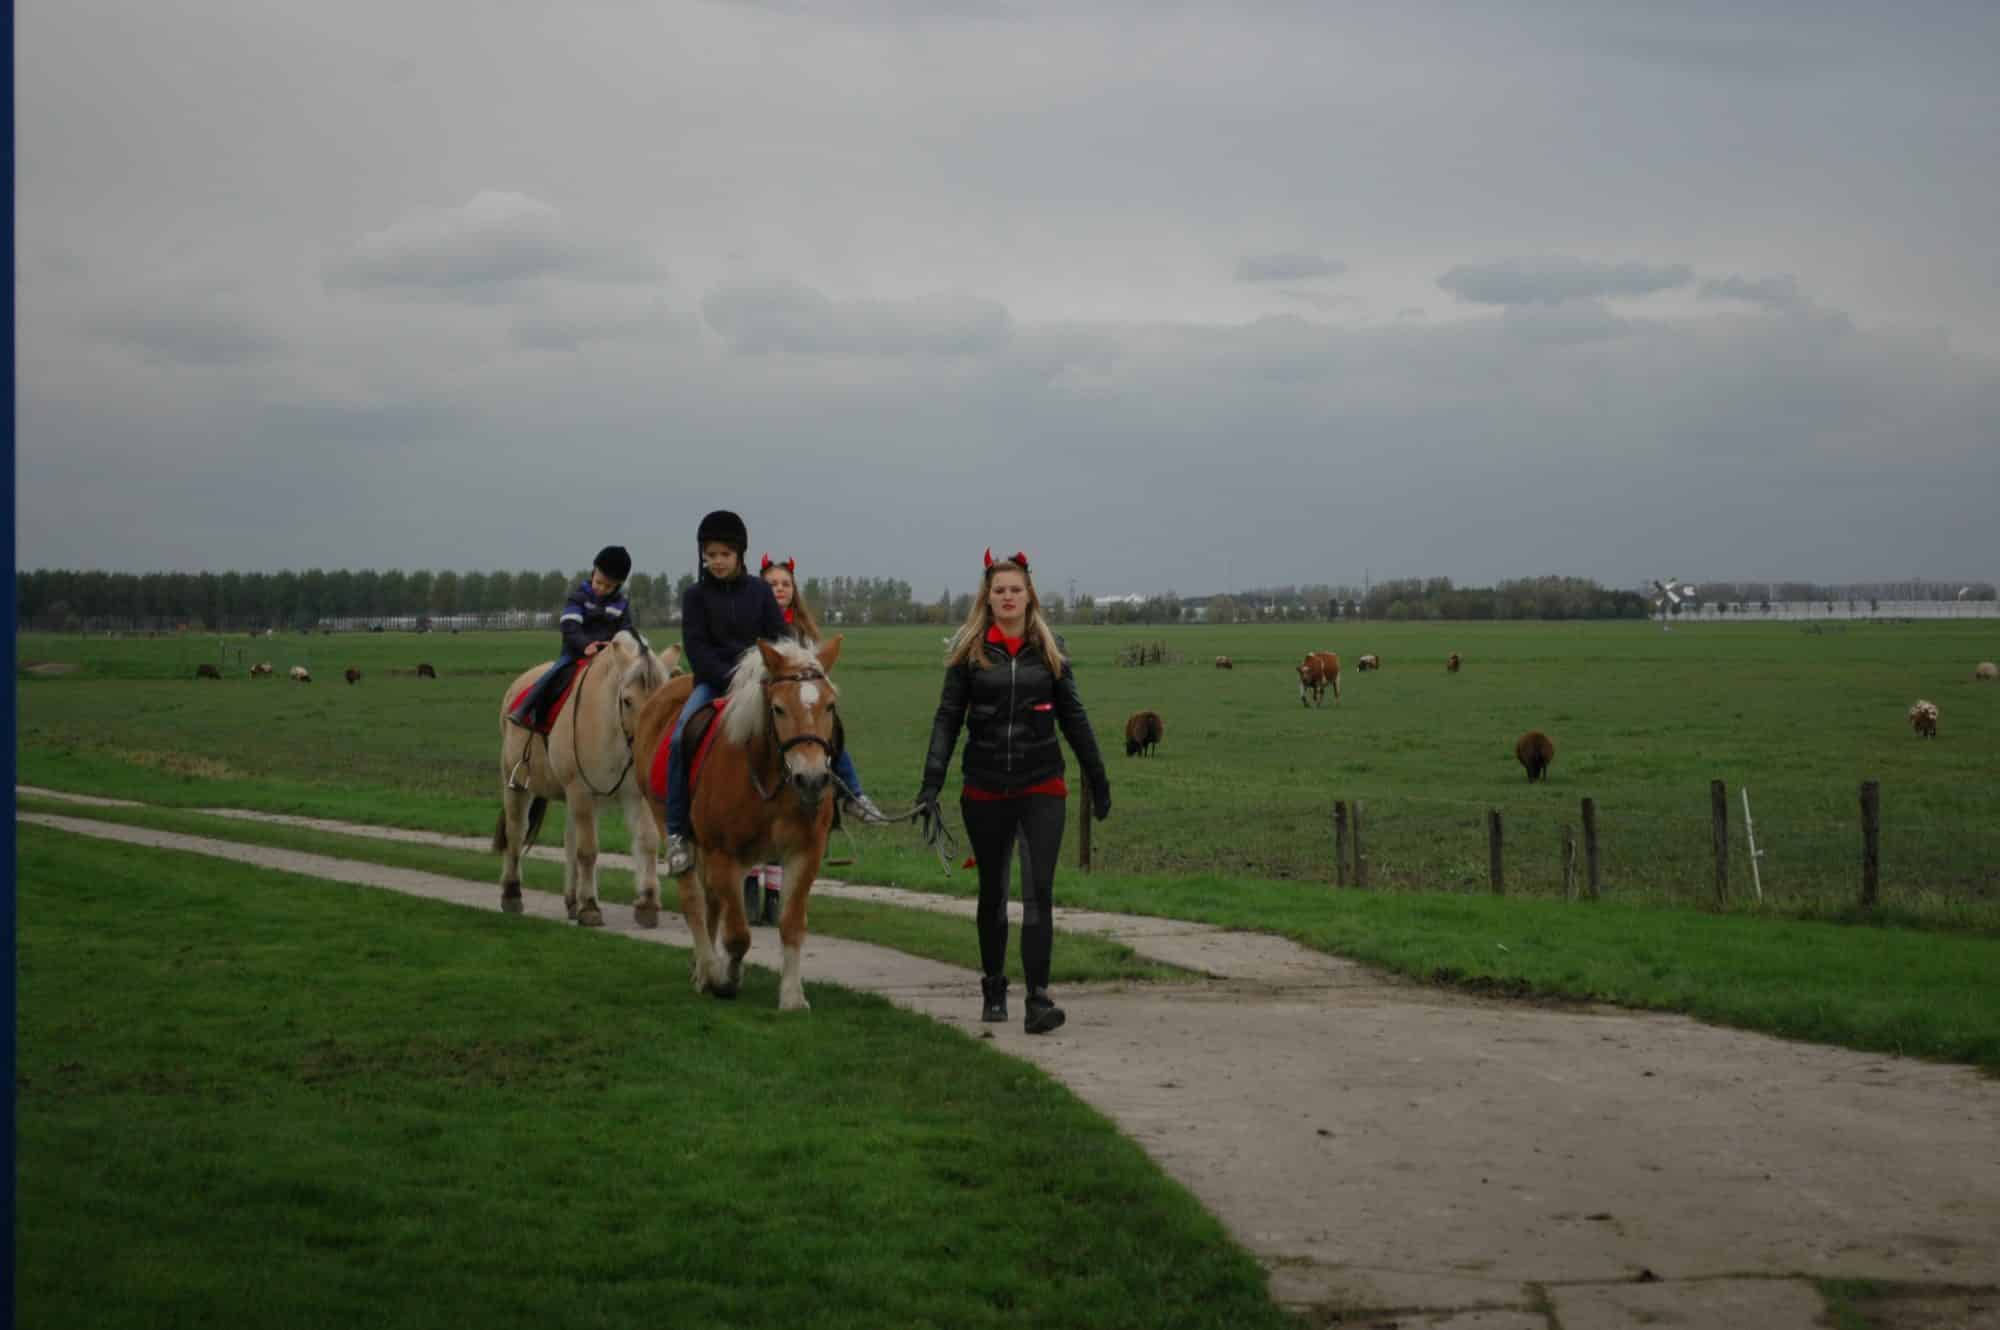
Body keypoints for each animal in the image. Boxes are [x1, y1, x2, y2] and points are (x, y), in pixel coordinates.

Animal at [493, 631, 679, 927]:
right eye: (627, 700)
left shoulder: (634, 796)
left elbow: (646, 842)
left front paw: (647, 903)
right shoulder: (581, 790)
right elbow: (588, 850)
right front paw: (590, 907)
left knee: (569, 841)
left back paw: (571, 900)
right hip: (519, 787)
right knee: (517, 833)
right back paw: (512, 894)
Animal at [631, 636, 844, 1010]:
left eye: (829, 706)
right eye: (778, 709)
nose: (812, 779)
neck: (771, 779)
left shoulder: (804, 852)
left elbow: (791, 924)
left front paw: (792, 996)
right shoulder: (724, 854)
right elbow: (738, 934)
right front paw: (726, 979)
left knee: (712, 902)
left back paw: (702, 967)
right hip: (674, 828)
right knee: (694, 902)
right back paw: (707, 969)